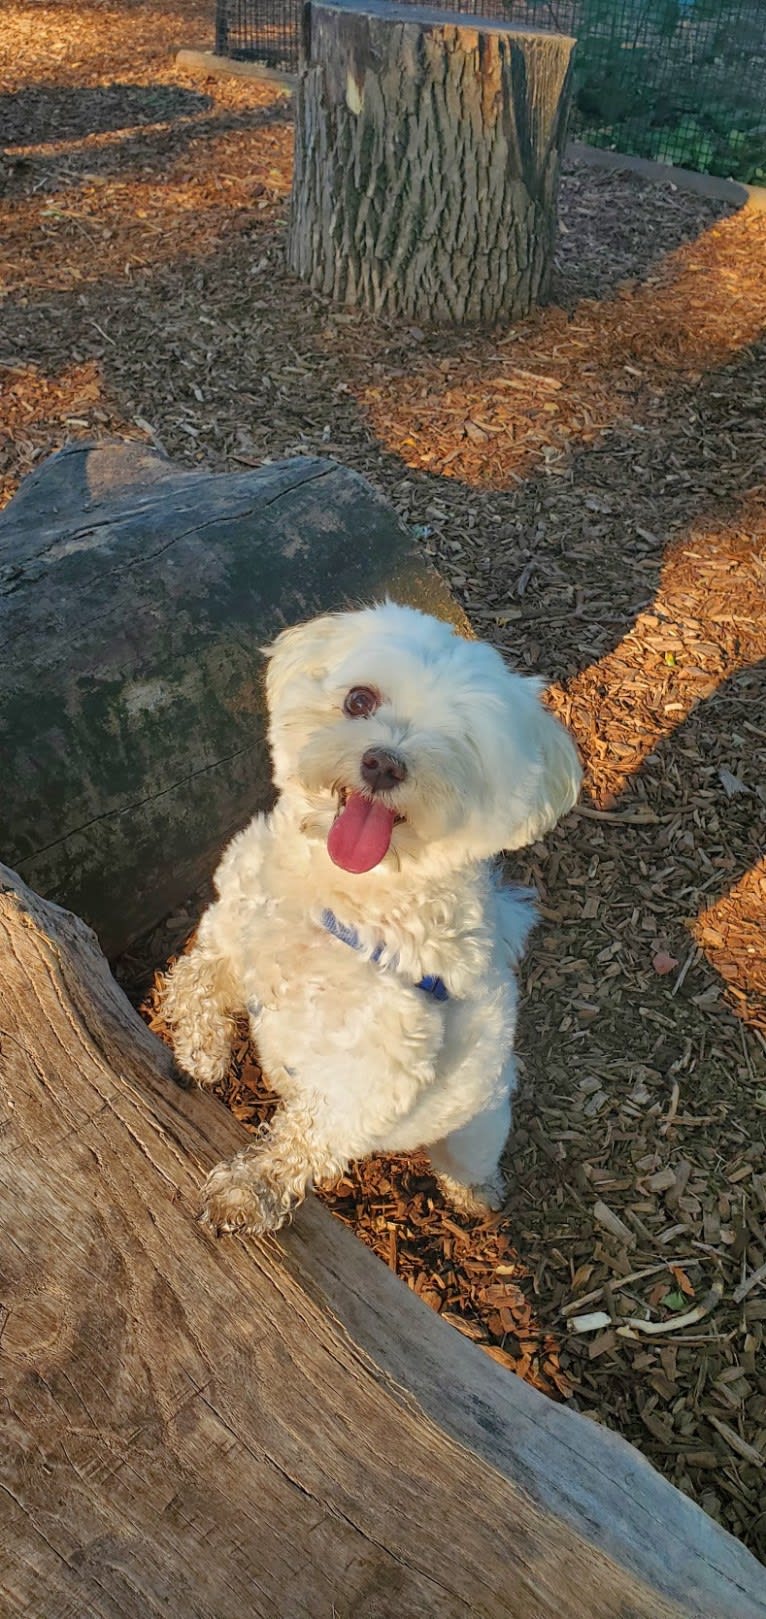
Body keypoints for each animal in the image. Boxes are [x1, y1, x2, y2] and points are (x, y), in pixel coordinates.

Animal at [161, 602, 579, 1230]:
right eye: (360, 699)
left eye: (458, 742)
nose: (383, 763)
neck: (337, 898)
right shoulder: (233, 936)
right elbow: (193, 980)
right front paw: (201, 1049)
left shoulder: (372, 1071)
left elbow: (303, 1141)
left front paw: (247, 1190)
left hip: (475, 1128)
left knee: (468, 1165)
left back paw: (475, 1197)